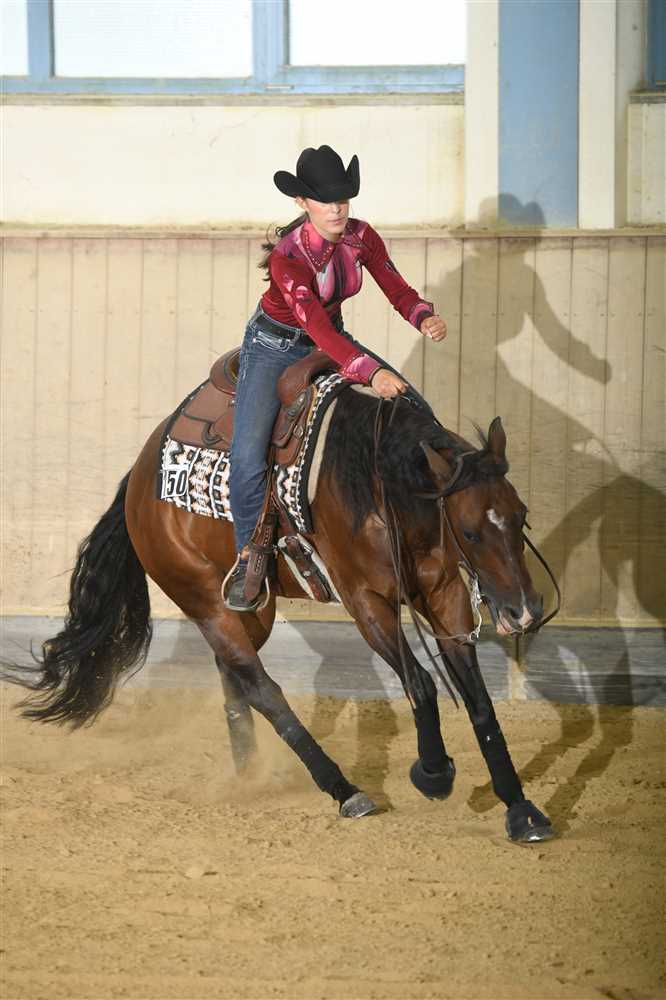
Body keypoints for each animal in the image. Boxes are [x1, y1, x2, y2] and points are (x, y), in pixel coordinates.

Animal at [8, 379, 556, 843]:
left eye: (521, 514)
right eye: (470, 531)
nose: (524, 612)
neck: (380, 486)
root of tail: (139, 479)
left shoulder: (444, 595)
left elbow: (479, 700)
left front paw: (521, 810)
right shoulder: (367, 601)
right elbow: (420, 682)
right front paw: (434, 772)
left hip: (249, 608)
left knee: (234, 676)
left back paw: (249, 772)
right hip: (203, 600)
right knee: (263, 688)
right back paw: (344, 790)